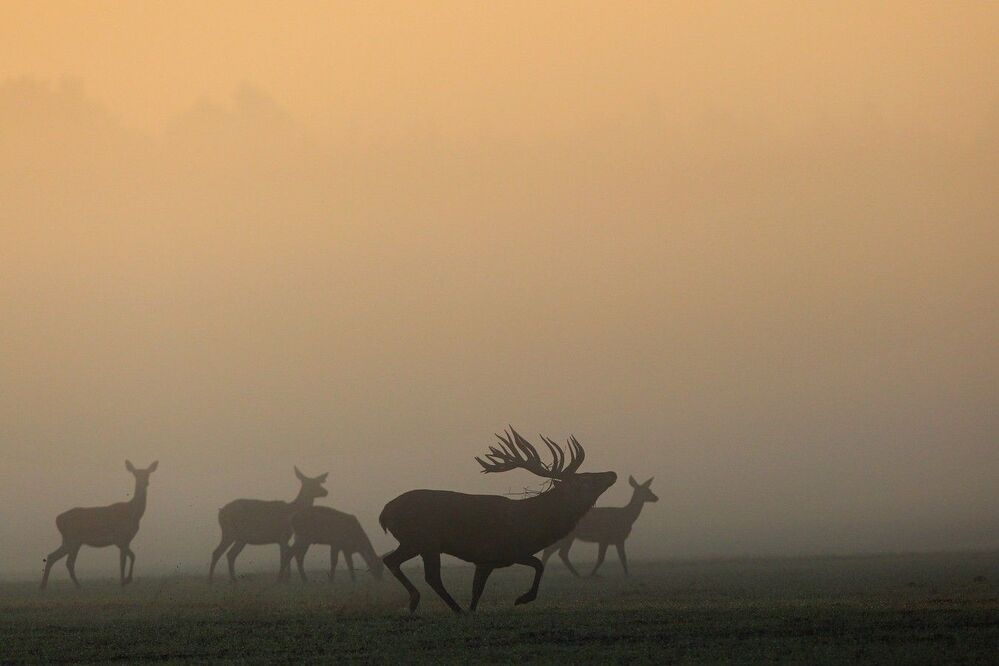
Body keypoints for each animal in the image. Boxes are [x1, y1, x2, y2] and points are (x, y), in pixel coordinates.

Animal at [40, 460, 159, 589]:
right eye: (136, 475)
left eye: (148, 474)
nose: (145, 483)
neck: (133, 513)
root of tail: (58, 519)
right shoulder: (119, 538)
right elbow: (128, 558)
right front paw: (125, 581)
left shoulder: (126, 540)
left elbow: (126, 559)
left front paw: (124, 581)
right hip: (72, 539)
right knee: (63, 560)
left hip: (72, 541)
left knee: (58, 559)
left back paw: (51, 586)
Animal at [379, 428, 616, 614]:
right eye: (585, 479)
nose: (612, 473)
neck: (533, 524)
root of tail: (385, 513)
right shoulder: (500, 551)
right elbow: (539, 564)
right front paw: (522, 598)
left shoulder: (487, 560)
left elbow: (477, 591)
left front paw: (474, 610)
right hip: (423, 540)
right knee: (427, 574)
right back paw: (439, 605)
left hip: (415, 542)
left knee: (393, 561)